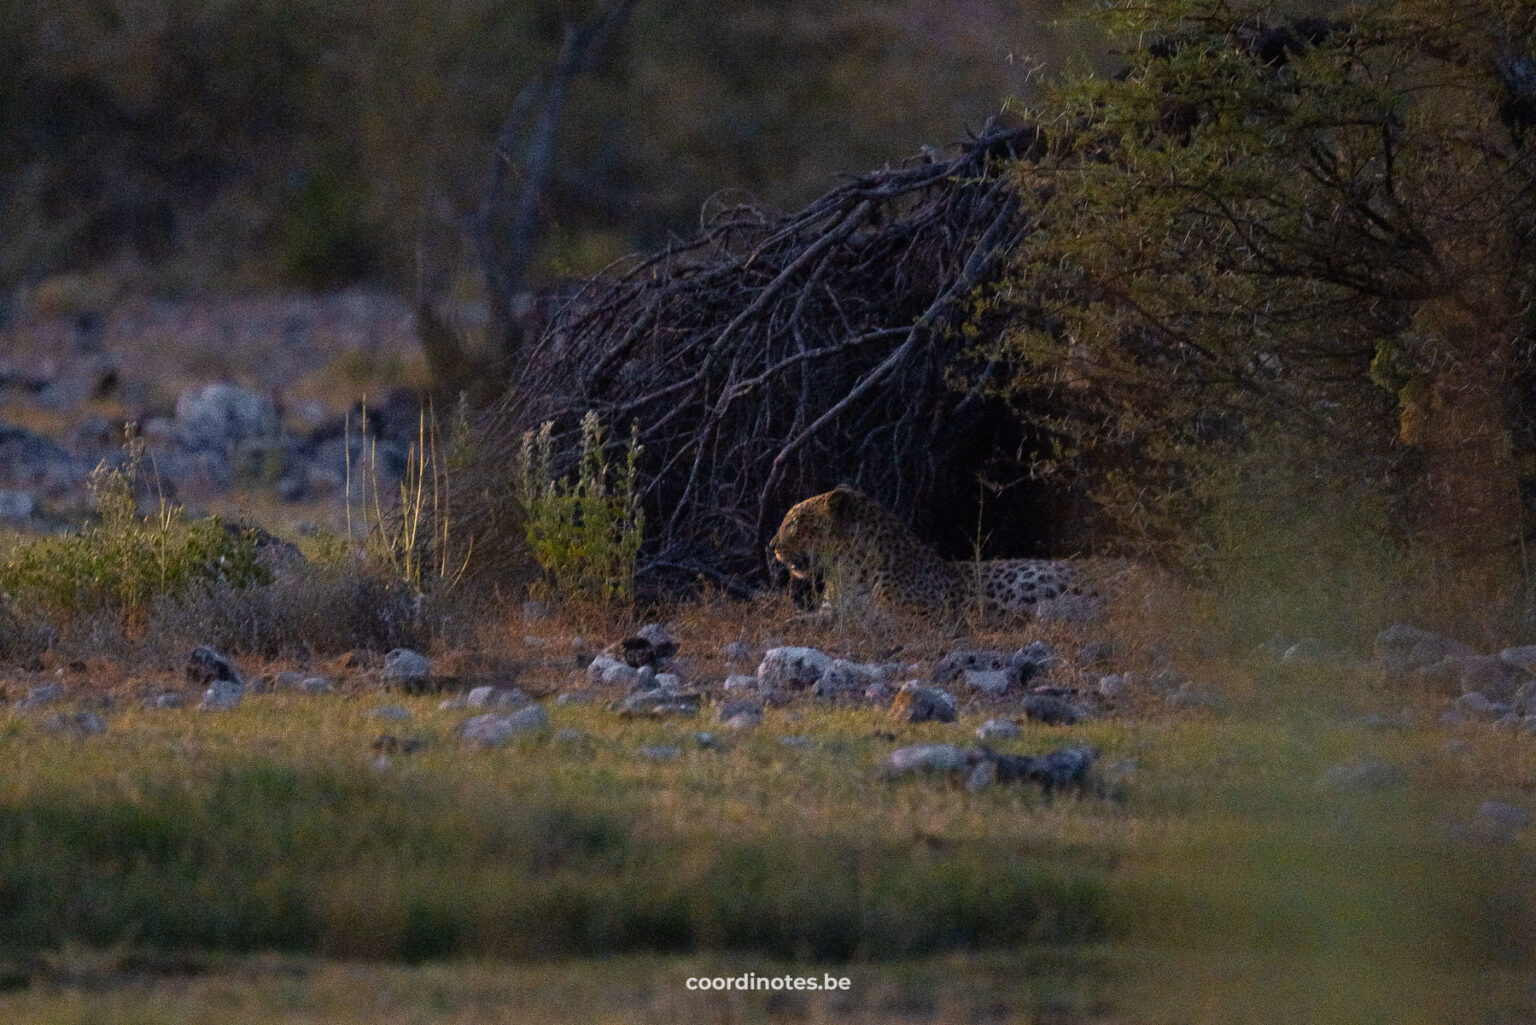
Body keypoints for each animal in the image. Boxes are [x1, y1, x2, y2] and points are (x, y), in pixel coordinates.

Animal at [768, 485, 1118, 620]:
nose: (771, 546)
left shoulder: (928, 611)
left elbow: (880, 614)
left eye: (794, 522)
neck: (846, 572)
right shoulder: (830, 609)